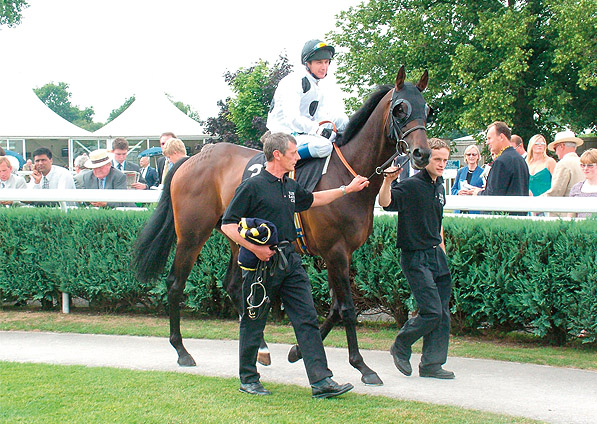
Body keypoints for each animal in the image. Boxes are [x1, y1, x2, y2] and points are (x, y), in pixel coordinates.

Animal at [133, 64, 430, 386]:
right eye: (400, 108)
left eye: (428, 108)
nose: (422, 154)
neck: (348, 173)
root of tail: (191, 158)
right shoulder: (335, 252)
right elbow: (346, 309)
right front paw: (362, 366)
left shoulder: (341, 254)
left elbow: (334, 308)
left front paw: (297, 350)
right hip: (191, 234)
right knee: (175, 283)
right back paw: (182, 350)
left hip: (237, 237)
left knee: (233, 284)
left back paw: (260, 348)